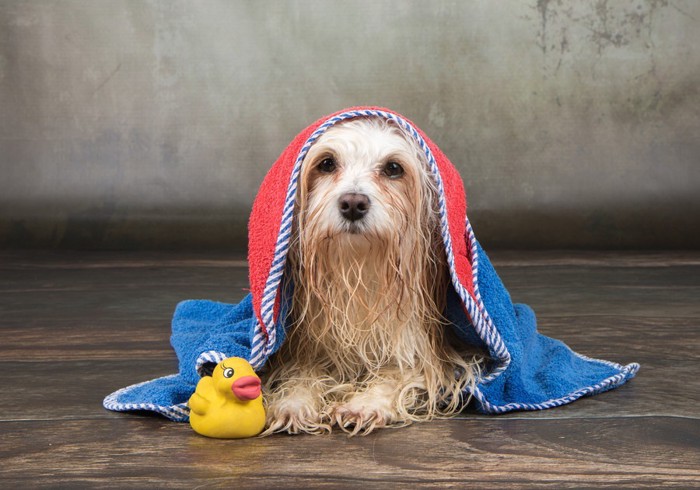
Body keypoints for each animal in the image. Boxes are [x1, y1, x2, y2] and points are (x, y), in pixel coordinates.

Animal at [262, 117, 482, 434]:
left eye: (393, 168)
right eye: (326, 163)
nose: (353, 203)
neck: (361, 268)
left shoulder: (429, 351)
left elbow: (399, 375)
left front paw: (365, 404)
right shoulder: (305, 348)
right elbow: (302, 374)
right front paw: (294, 402)